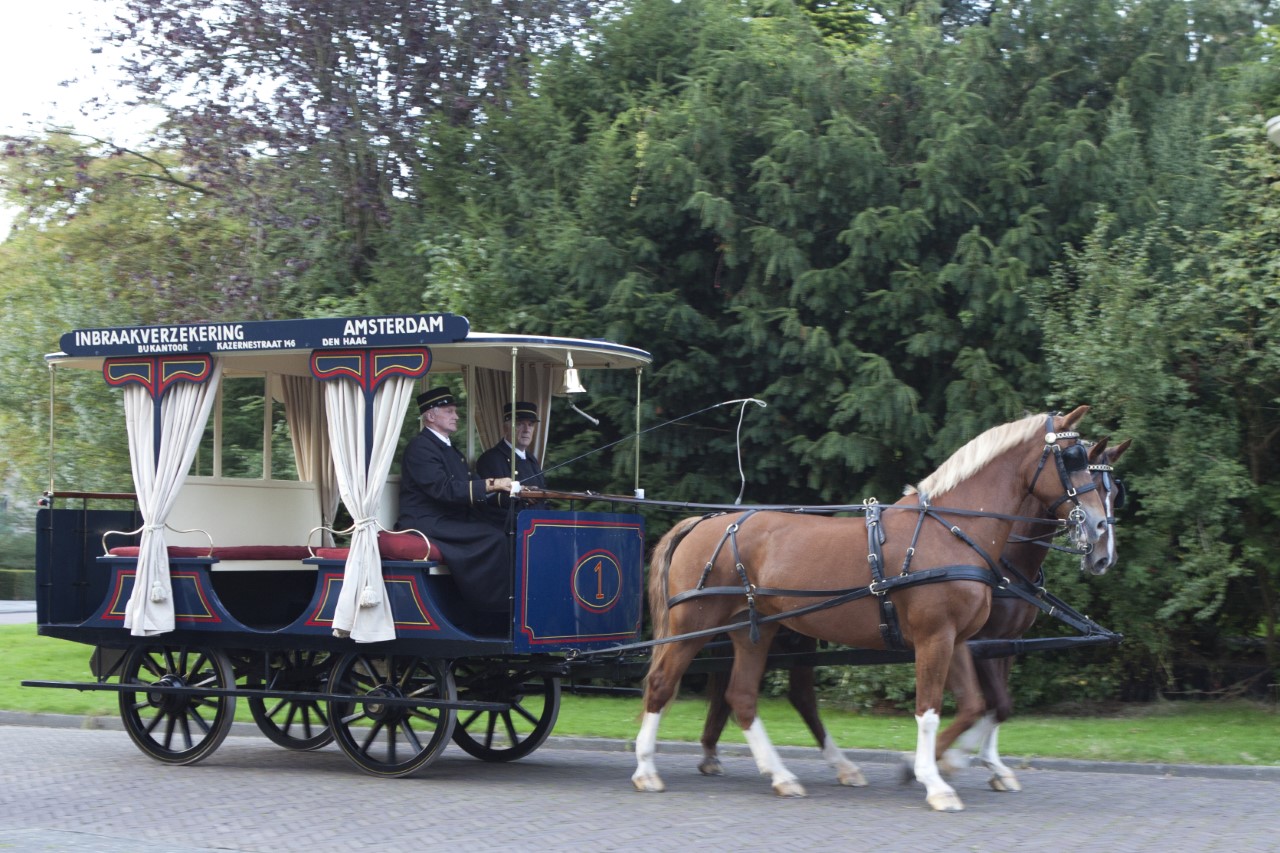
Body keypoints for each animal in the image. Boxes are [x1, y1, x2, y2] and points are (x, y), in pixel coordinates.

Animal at [634, 409, 1116, 809]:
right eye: (1071, 458)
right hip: (695, 623)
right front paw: (932, 779)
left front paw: (936, 765)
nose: (1099, 535)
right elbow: (931, 709)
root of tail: (703, 521)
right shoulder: (935, 638)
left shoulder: (959, 639)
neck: (954, 531)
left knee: (743, 696)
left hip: (754, 629)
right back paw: (646, 768)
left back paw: (782, 775)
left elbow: (975, 706)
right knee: (661, 683)